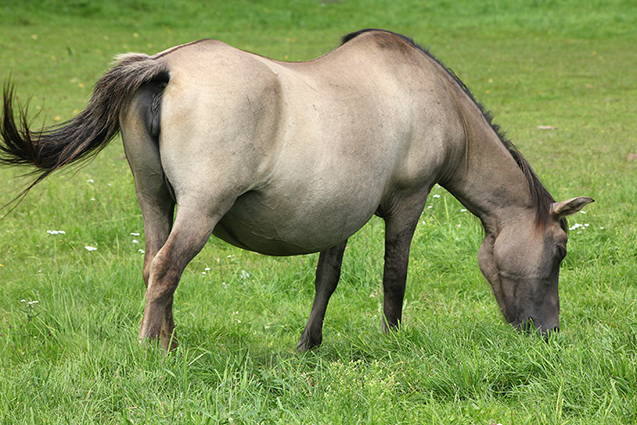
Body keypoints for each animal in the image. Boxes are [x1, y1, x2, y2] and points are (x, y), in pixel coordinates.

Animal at [2, 28, 592, 350]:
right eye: (560, 250)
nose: (548, 332)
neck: (429, 97)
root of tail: (163, 66)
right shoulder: (409, 201)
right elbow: (394, 277)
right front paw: (392, 340)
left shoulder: (338, 213)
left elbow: (325, 280)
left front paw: (309, 344)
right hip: (199, 209)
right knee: (168, 268)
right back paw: (153, 351)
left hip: (155, 201)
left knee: (153, 268)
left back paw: (169, 342)